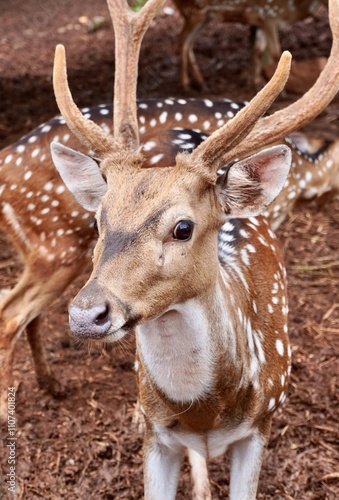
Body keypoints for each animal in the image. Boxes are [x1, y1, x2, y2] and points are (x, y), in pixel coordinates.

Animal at [174, 0, 328, 89]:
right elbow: (275, 51)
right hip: (195, 11)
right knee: (183, 39)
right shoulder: (269, 15)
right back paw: (186, 84)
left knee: (189, 41)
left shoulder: (261, 21)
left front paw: (255, 81)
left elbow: (258, 49)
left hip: (206, 16)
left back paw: (201, 83)